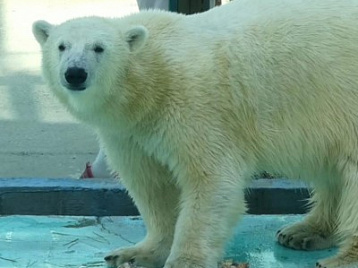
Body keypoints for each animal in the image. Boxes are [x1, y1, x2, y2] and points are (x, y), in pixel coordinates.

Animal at [33, 0, 358, 268]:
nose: (75, 73)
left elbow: (211, 180)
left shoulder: (194, 106)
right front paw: (134, 253)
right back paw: (304, 232)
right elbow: (152, 186)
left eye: (99, 48)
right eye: (62, 46)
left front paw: (184, 261)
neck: (151, 79)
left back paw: (340, 258)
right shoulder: (129, 133)